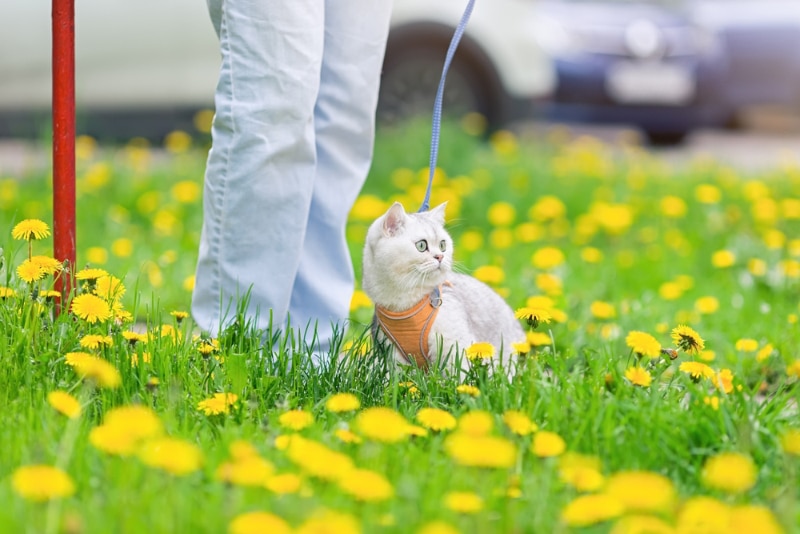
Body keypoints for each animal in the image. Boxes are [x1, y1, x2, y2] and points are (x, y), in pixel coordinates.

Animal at [362, 202, 524, 376]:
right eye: (421, 245)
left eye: (442, 245)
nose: (440, 256)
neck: (405, 302)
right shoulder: (392, 354)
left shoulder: (455, 346)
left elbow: (459, 376)